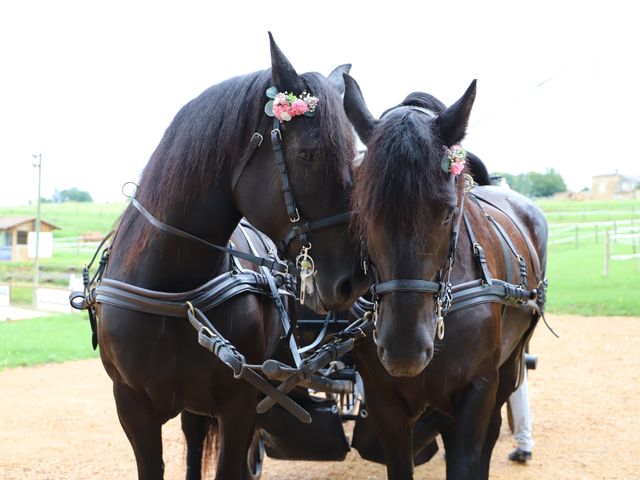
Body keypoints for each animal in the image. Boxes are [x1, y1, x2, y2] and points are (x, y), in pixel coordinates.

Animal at [93, 35, 368, 478]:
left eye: (354, 156)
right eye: (309, 153)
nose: (354, 279)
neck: (176, 290)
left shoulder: (242, 403)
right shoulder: (132, 408)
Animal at [342, 77, 548, 478]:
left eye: (448, 212)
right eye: (363, 212)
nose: (404, 350)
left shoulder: (477, 389)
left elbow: (469, 455)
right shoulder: (384, 402)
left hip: (510, 364)